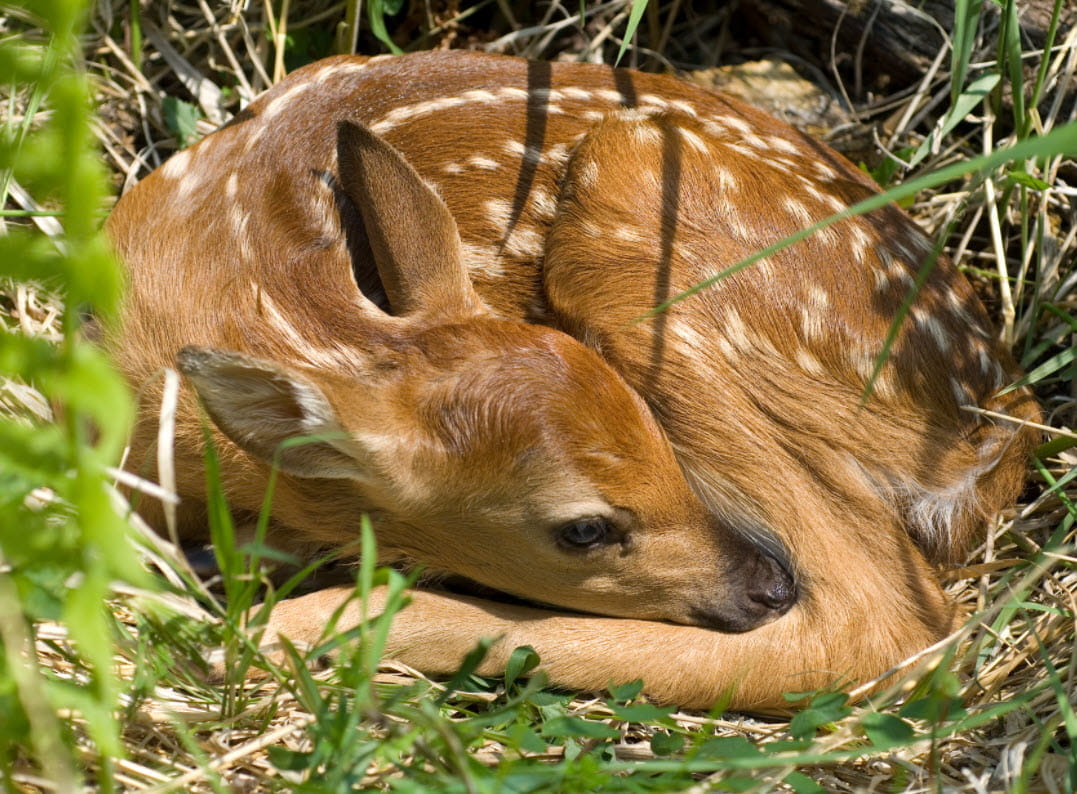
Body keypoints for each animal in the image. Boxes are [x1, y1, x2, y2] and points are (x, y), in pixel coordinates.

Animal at [103, 50, 1040, 711]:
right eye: (582, 529)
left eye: (652, 432)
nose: (762, 584)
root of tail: (997, 408)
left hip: (634, 215)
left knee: (882, 626)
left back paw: (300, 622)